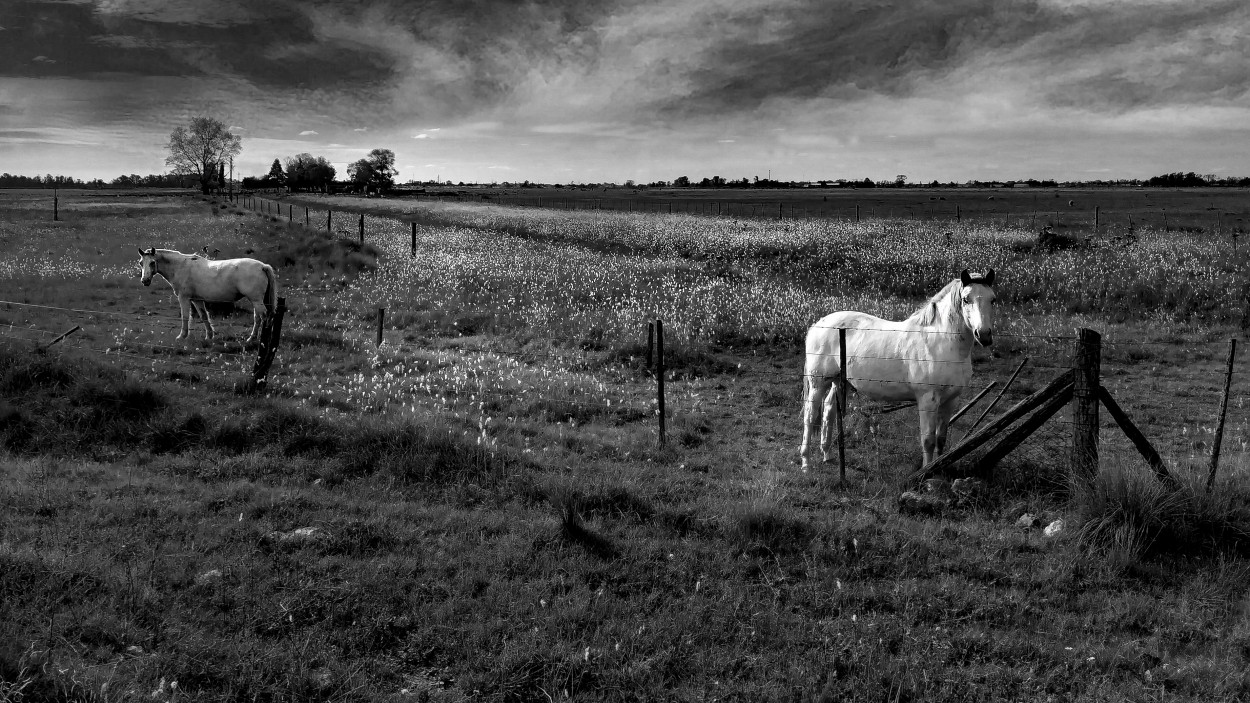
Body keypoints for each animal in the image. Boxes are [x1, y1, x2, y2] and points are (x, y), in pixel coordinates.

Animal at [140, 247, 280, 342]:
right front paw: (209, 336)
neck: (180, 266)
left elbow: (185, 317)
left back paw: (256, 339)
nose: (144, 281)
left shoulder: (184, 298)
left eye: (152, 262)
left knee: (263, 316)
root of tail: (262, 266)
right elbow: (204, 316)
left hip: (256, 300)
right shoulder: (197, 300)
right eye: (141, 263)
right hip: (258, 300)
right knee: (259, 317)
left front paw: (182, 336)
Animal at [800, 267, 995, 470]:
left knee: (829, 411)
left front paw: (939, 468)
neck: (940, 341)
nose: (984, 335)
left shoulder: (951, 400)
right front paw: (926, 472)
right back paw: (806, 463)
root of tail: (818, 324)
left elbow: (941, 439)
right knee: (809, 416)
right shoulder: (927, 399)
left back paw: (827, 455)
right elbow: (928, 440)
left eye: (993, 299)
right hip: (818, 383)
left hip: (838, 381)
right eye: (966, 299)